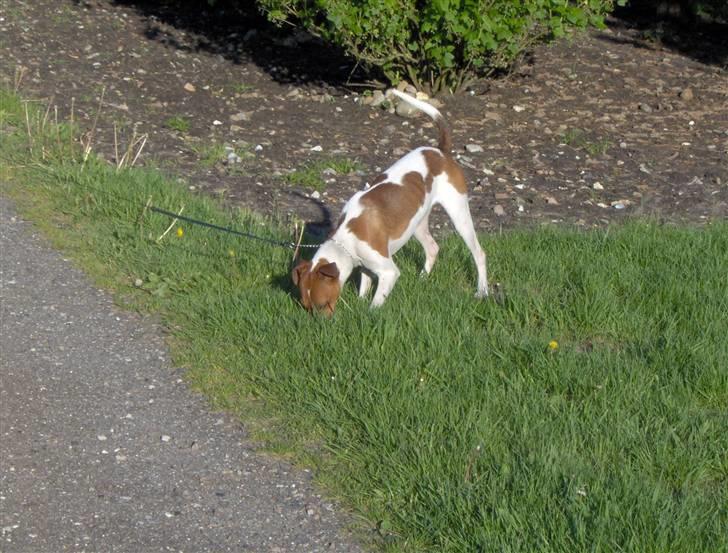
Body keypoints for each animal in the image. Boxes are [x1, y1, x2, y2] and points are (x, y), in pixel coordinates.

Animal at [292, 90, 490, 314]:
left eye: (323, 304)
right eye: (306, 306)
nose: (320, 320)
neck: (346, 239)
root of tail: (441, 151)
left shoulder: (388, 272)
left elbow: (375, 303)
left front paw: (368, 314)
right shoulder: (366, 266)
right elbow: (364, 287)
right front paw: (360, 301)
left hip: (458, 214)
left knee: (479, 253)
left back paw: (482, 291)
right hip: (416, 223)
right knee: (432, 248)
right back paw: (422, 279)